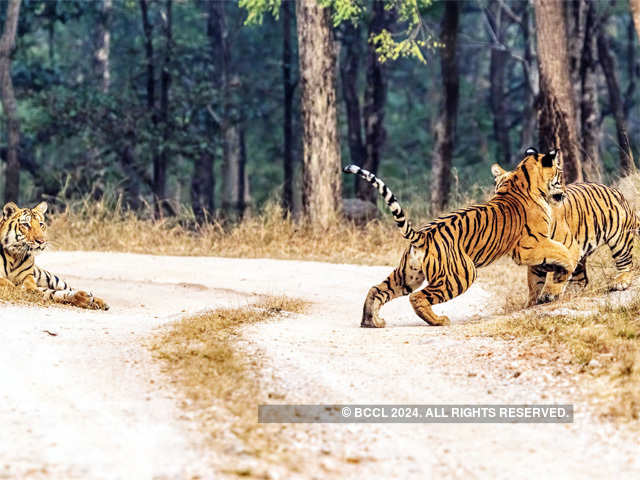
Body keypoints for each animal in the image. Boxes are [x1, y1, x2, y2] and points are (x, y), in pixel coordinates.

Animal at [344, 148, 576, 328]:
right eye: (560, 173)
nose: (565, 190)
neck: (522, 178)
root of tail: (422, 234)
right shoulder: (529, 246)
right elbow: (562, 251)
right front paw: (566, 268)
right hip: (460, 275)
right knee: (417, 297)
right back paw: (439, 321)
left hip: (407, 275)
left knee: (377, 289)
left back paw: (371, 322)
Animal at [492, 146, 636, 306]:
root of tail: (616, 192)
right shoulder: (535, 263)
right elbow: (534, 284)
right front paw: (531, 302)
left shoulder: (568, 247)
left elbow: (559, 274)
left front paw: (550, 292)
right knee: (581, 280)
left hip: (619, 238)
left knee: (626, 263)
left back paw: (620, 282)